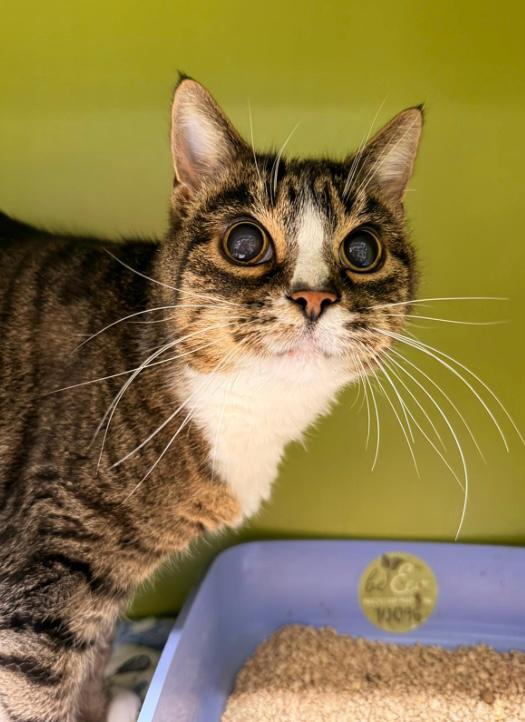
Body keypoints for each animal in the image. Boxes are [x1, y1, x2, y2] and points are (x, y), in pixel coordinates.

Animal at [0, 75, 422, 721]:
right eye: (245, 242)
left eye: (363, 251)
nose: (315, 297)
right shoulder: (46, 563)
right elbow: (32, 691)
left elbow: (92, 658)